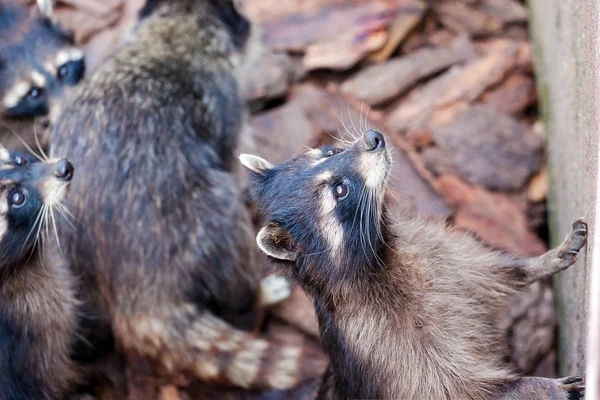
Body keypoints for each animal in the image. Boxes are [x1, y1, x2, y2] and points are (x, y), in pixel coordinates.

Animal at [51, 0, 328, 390]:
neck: (175, 30)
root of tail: (137, 291)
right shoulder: (227, 105)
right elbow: (232, 154)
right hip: (200, 223)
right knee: (226, 216)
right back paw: (254, 293)